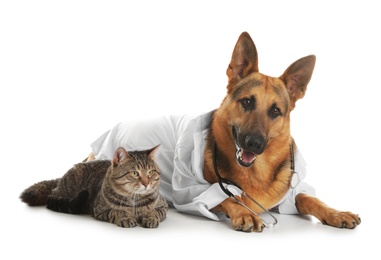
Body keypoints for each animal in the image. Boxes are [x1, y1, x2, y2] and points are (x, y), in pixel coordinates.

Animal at [20, 145, 167, 229]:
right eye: (135, 173)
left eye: (150, 172)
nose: (146, 184)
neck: (134, 199)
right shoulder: (100, 210)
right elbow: (118, 211)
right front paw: (125, 217)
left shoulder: (163, 206)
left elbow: (154, 211)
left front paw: (150, 217)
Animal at [202, 32, 360, 232]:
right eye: (247, 102)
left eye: (275, 111)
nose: (254, 144)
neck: (256, 172)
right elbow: (230, 198)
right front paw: (245, 213)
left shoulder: (291, 195)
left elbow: (308, 197)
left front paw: (336, 213)